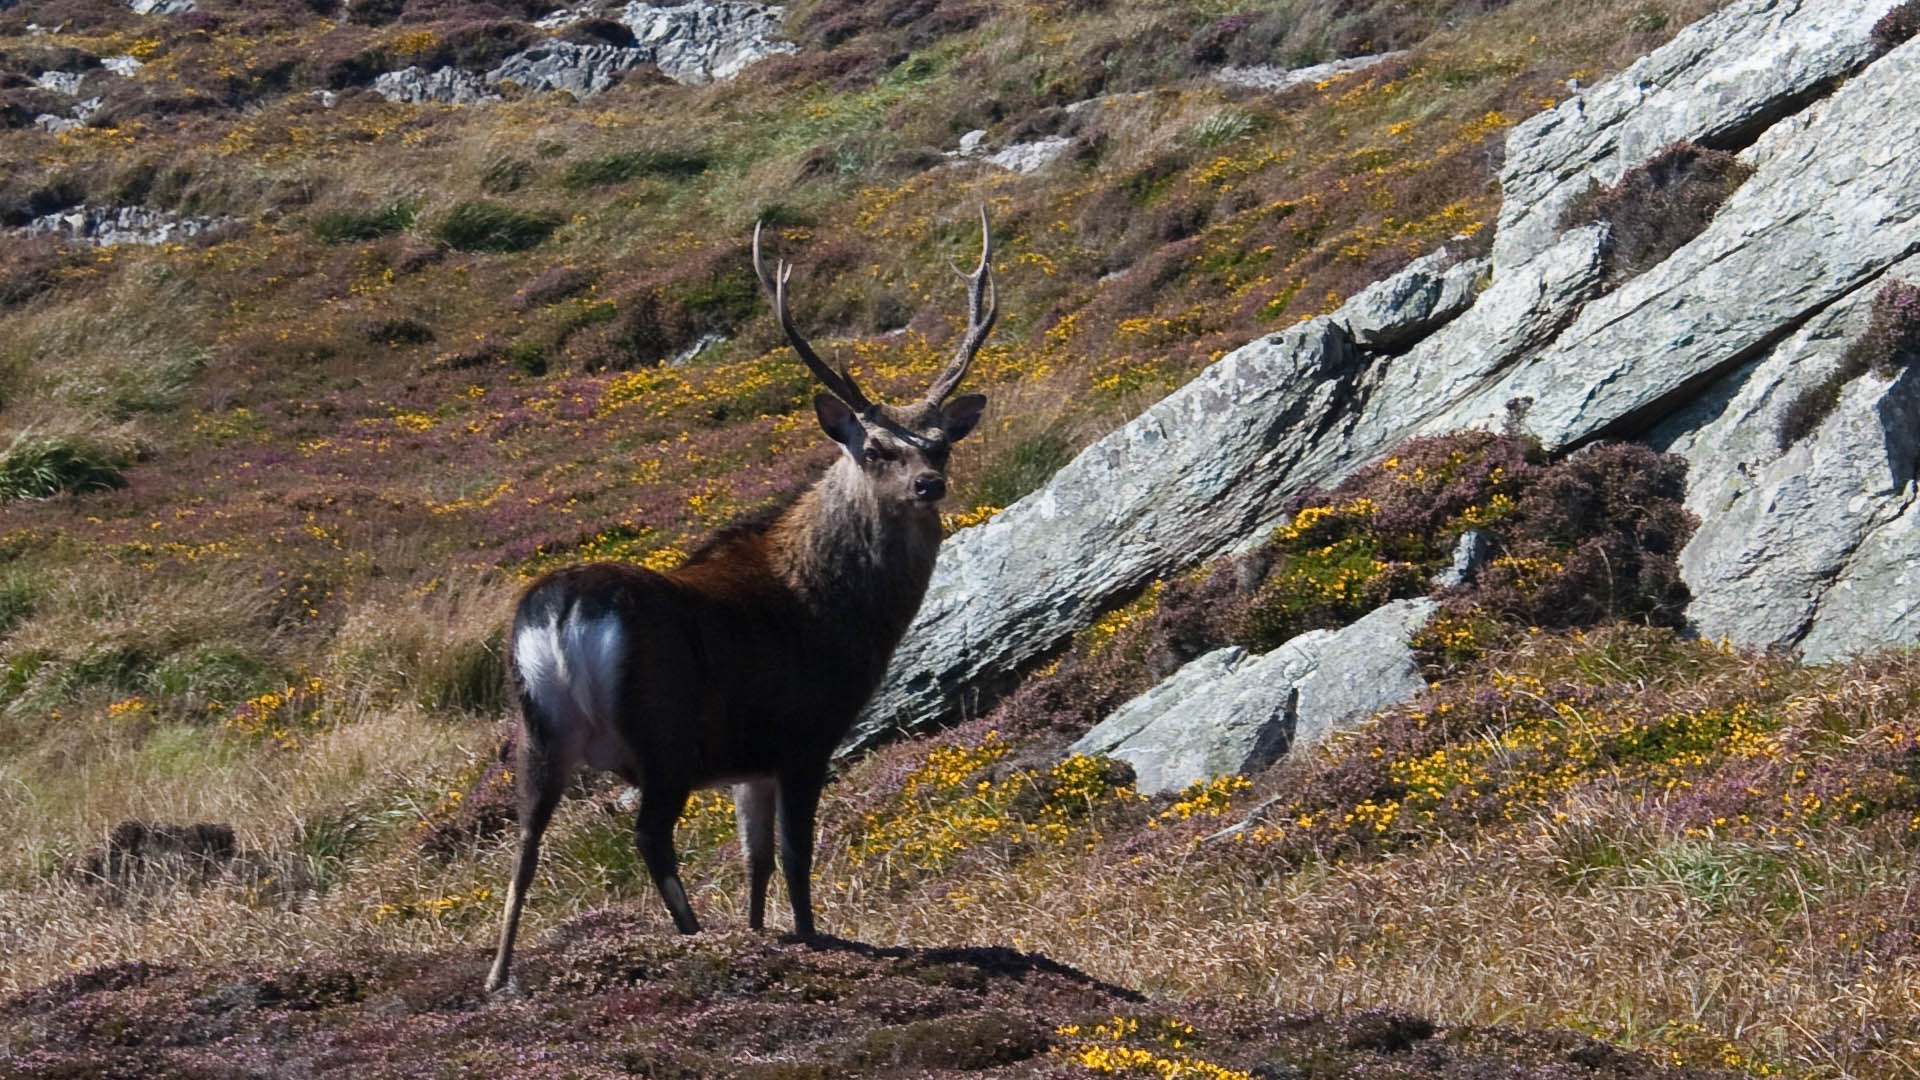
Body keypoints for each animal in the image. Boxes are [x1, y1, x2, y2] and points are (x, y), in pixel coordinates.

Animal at [480, 205, 998, 991]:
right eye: (875, 448)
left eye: (940, 445)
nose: (928, 485)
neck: (841, 612)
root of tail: (562, 611)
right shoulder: (804, 732)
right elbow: (793, 856)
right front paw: (808, 940)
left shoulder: (745, 762)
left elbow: (755, 862)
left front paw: (760, 935)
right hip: (661, 726)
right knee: (649, 835)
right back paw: (693, 934)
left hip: (537, 729)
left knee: (525, 842)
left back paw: (499, 977)